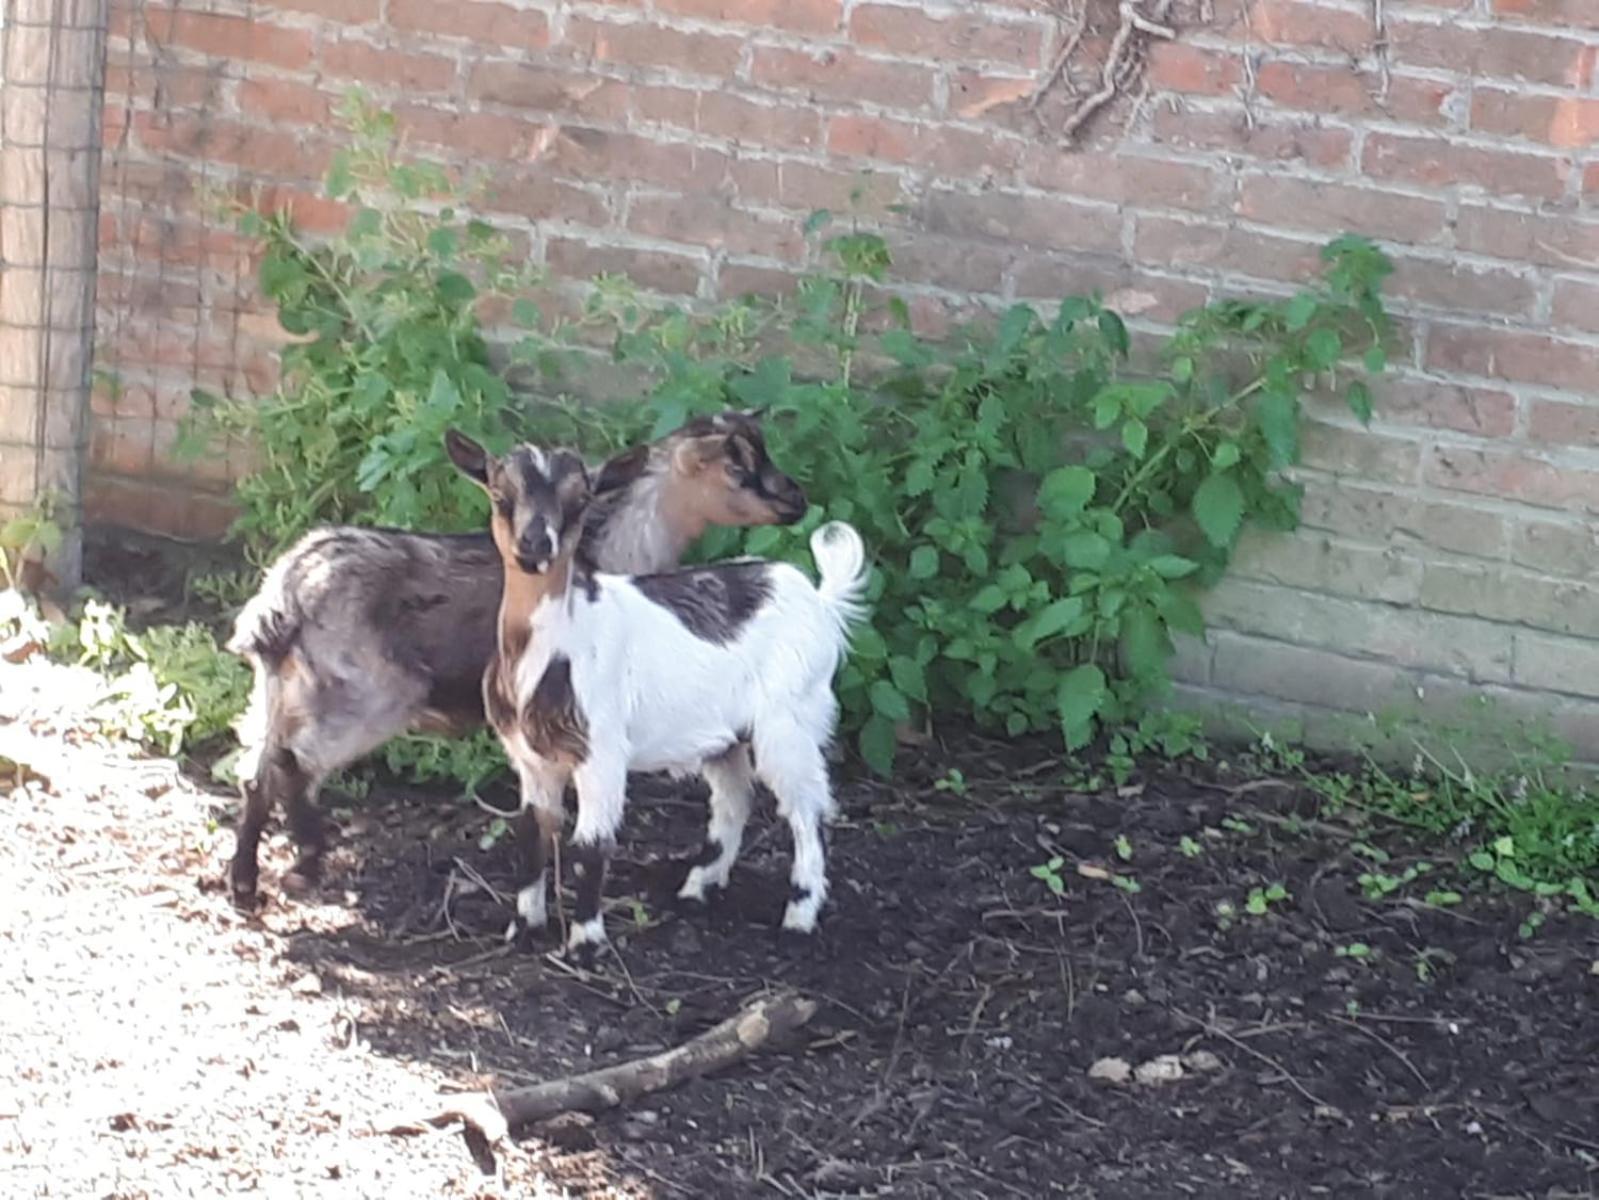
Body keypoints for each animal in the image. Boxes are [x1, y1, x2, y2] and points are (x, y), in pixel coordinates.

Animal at [444, 428, 869, 960]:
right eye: (501, 497)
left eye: (580, 502)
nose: (535, 545)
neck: (556, 646)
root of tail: (819, 598)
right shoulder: (530, 758)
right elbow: (531, 835)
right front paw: (524, 926)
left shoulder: (602, 753)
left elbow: (591, 845)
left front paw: (586, 942)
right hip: (726, 735)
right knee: (734, 798)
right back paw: (698, 887)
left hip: (789, 719)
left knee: (808, 808)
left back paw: (799, 914)